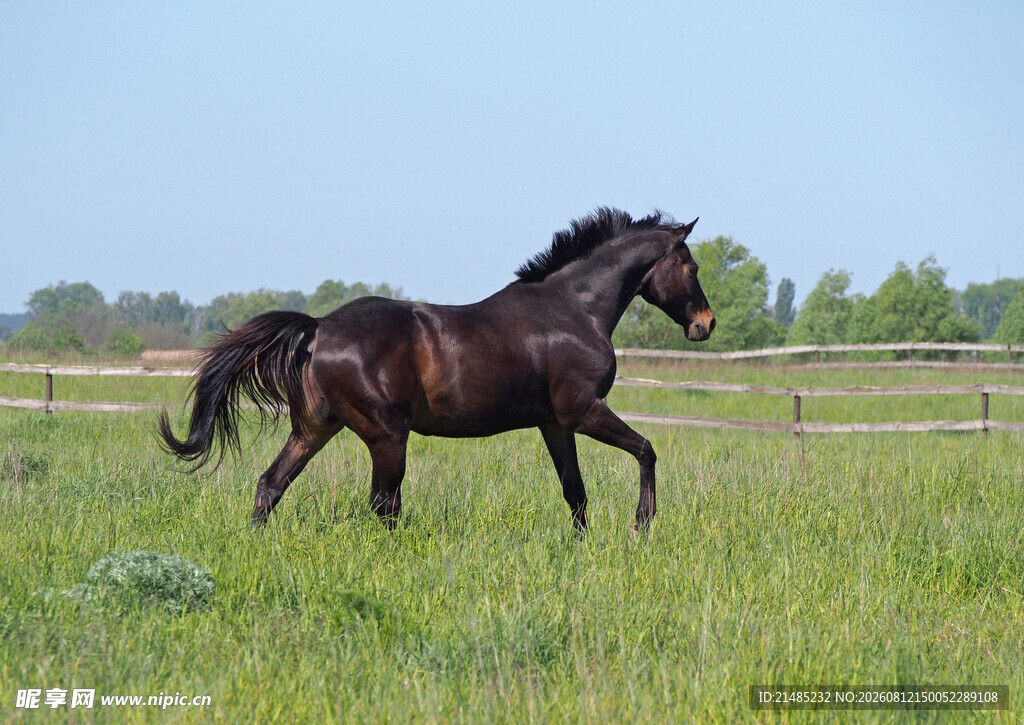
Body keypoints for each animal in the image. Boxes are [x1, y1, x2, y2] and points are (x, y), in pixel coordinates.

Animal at [158, 208, 715, 532]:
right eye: (690, 266)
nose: (704, 324)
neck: (573, 309)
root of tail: (319, 329)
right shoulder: (582, 411)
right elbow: (646, 449)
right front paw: (642, 525)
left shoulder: (555, 423)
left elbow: (574, 493)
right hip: (386, 435)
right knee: (383, 503)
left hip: (316, 428)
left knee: (272, 484)